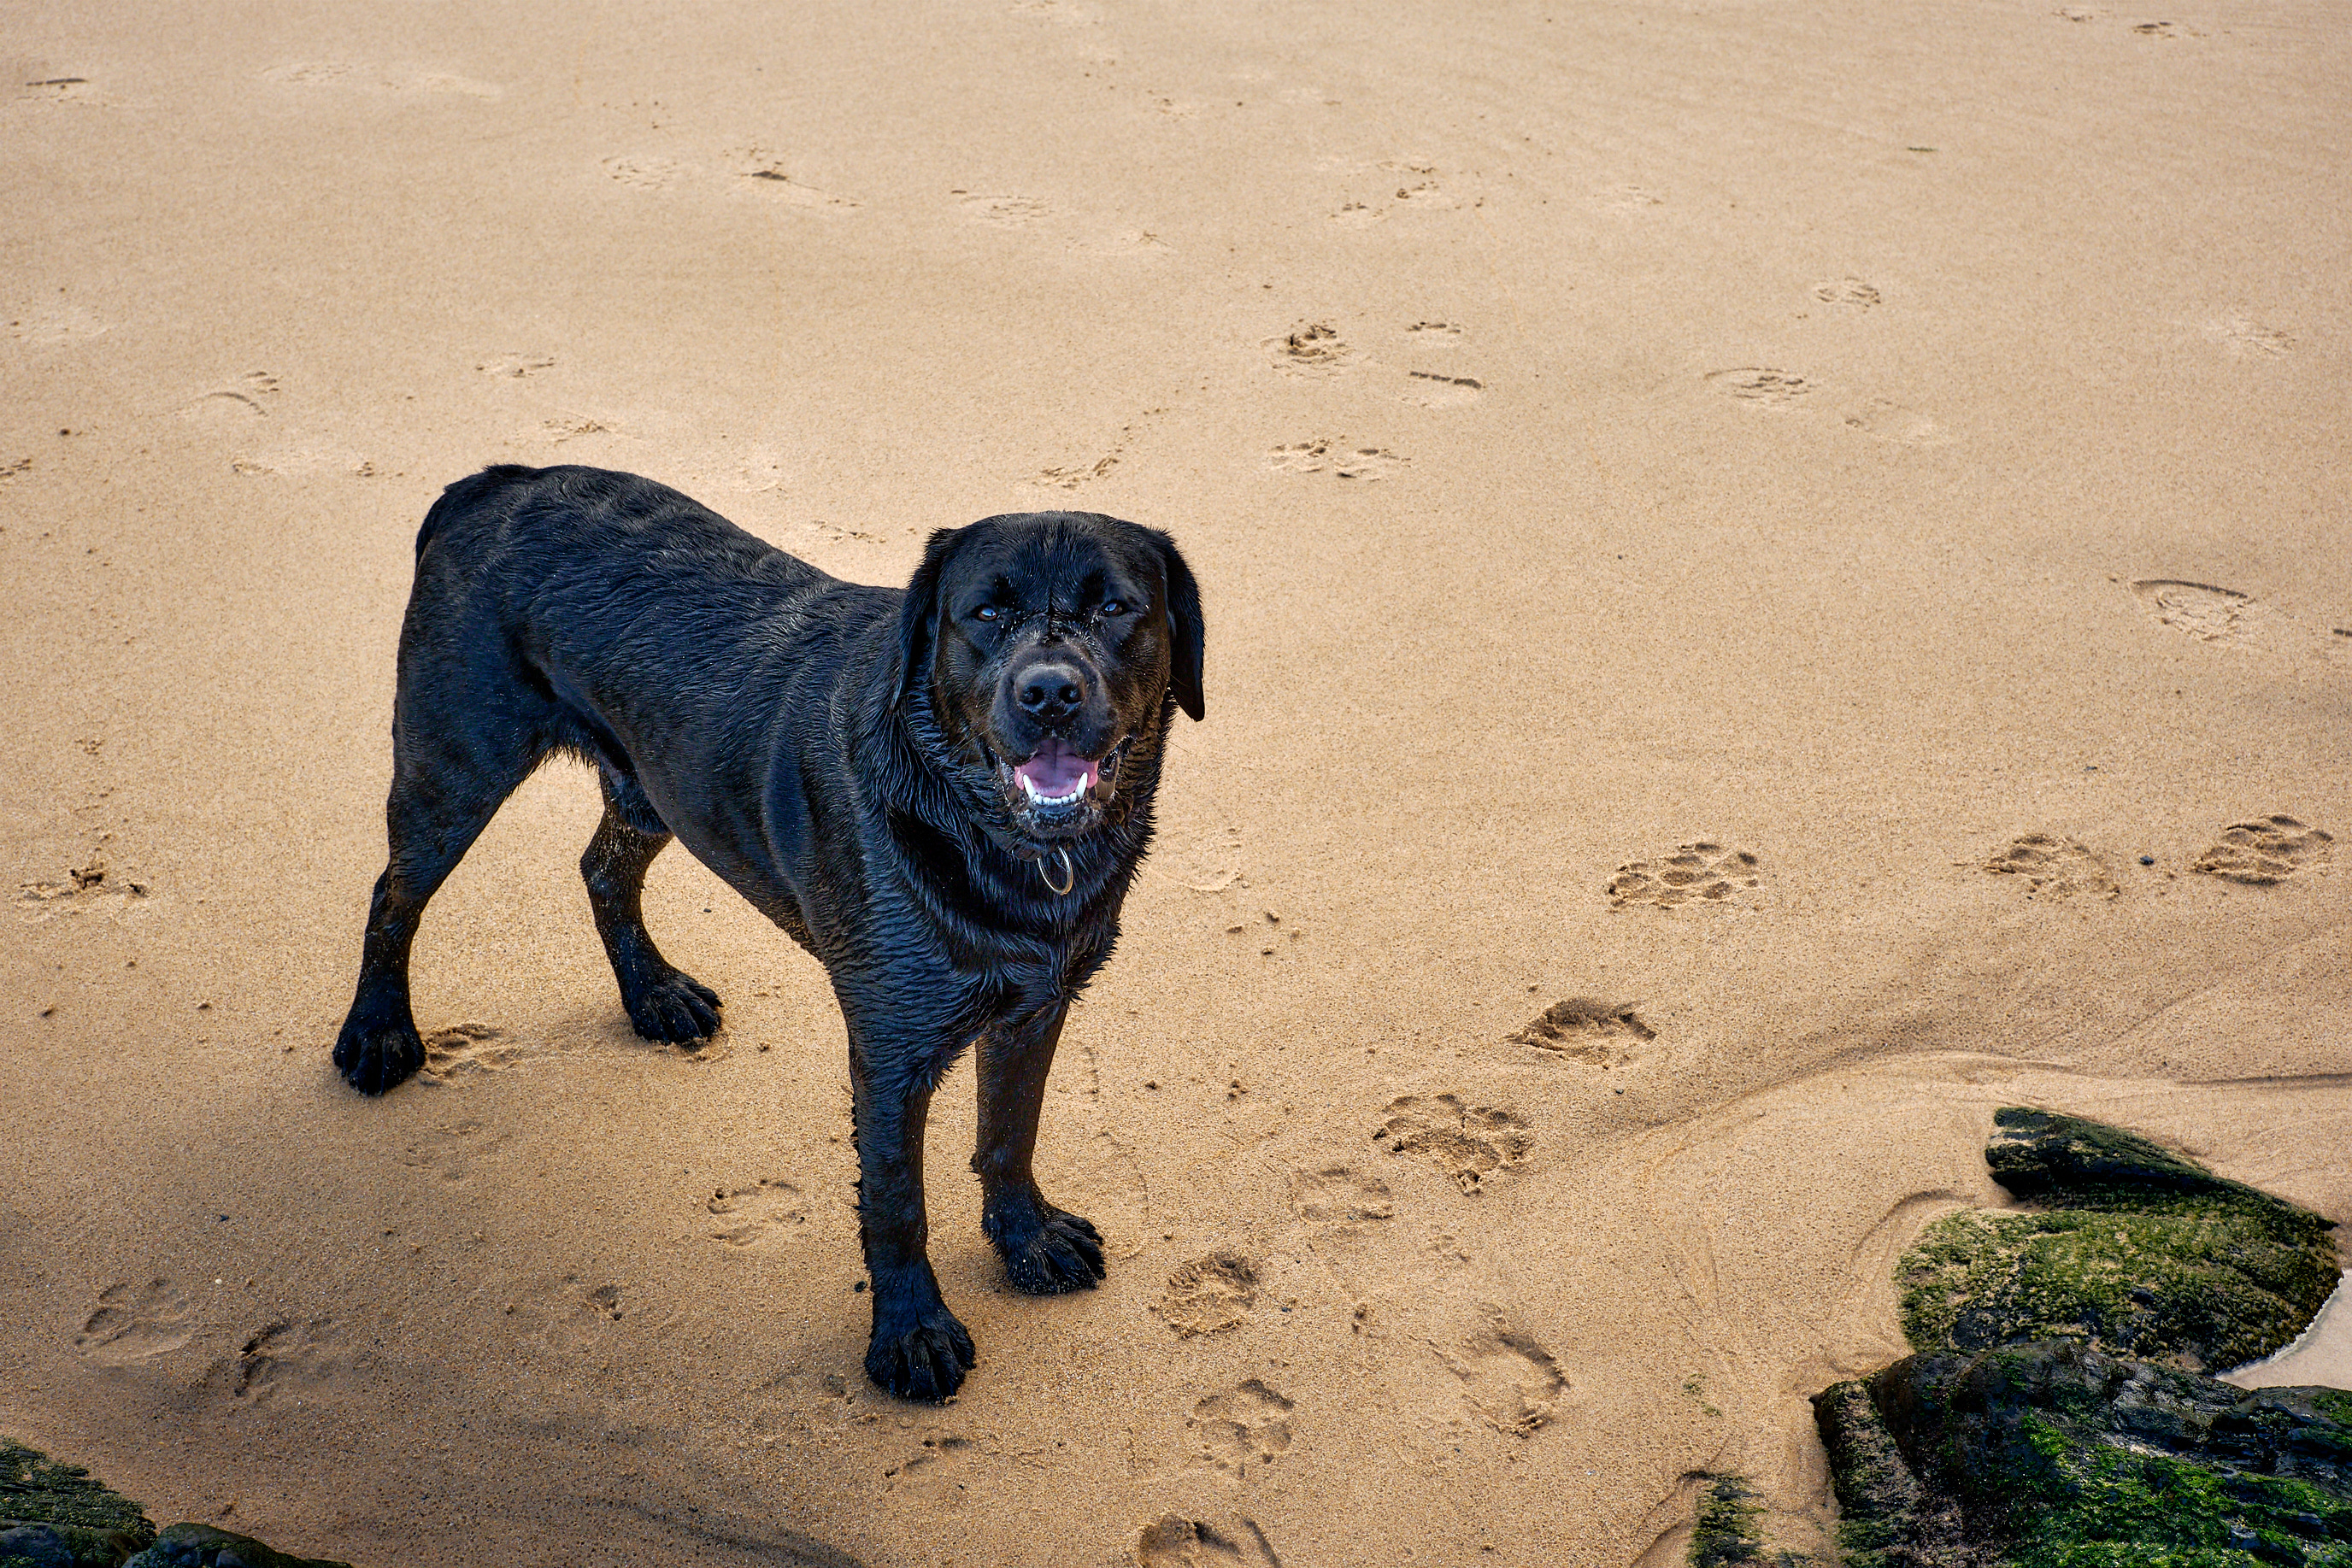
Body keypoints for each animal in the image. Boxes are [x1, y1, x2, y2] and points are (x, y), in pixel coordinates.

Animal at [333, 464, 1204, 1400]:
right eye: (984, 612)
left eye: (1115, 607)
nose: (1047, 693)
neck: (999, 838)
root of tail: (497, 480)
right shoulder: (891, 1050)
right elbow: (896, 1202)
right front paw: (911, 1331)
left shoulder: (1037, 1006)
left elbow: (1010, 1133)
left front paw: (1027, 1237)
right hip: (454, 767)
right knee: (392, 894)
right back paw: (377, 1032)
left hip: (655, 782)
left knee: (602, 867)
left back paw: (654, 993)